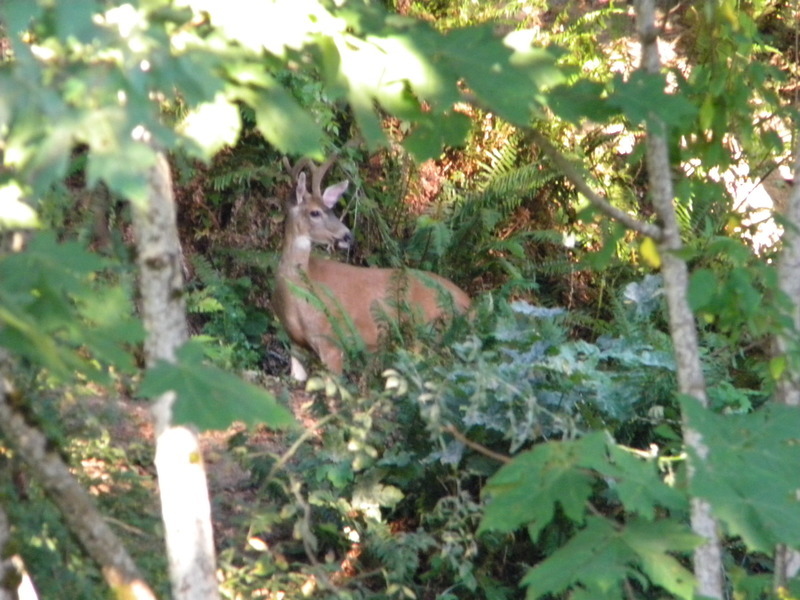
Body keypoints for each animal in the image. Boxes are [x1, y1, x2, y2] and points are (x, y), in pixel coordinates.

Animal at [276, 155, 468, 380]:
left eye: (331, 210)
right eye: (315, 212)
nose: (348, 236)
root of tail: (470, 303)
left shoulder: (332, 341)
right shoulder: (295, 343)